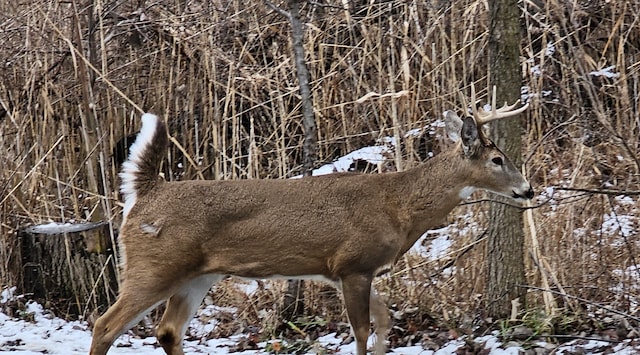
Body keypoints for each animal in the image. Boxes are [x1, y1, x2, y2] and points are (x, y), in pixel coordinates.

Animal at [89, 86, 528, 355]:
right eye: (497, 159)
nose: (528, 189)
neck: (397, 206)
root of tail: (146, 192)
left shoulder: (352, 270)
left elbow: (385, 321)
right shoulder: (353, 264)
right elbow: (362, 330)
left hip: (199, 274)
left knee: (167, 330)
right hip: (155, 264)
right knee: (105, 324)